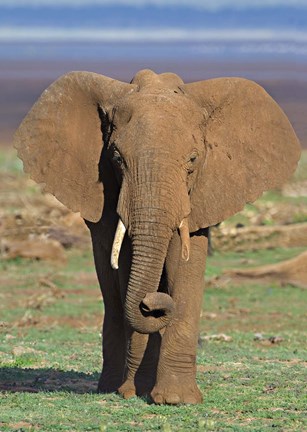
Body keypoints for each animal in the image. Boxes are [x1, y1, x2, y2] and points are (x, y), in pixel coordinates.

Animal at [13, 69, 300, 404]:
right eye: (116, 158)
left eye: (193, 160)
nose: (152, 304)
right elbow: (125, 266)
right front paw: (134, 392)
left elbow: (185, 266)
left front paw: (178, 399)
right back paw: (111, 387)